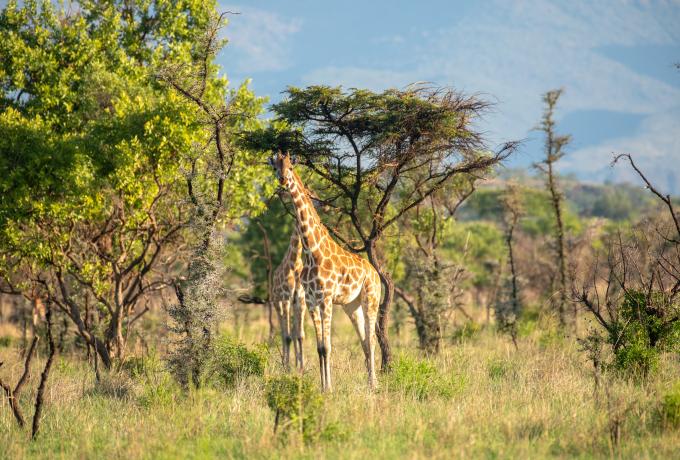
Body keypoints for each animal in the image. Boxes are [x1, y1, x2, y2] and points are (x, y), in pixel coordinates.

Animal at [270, 152, 382, 391]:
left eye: (290, 167)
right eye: (276, 167)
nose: (283, 180)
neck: (312, 251)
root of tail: (376, 273)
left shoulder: (326, 298)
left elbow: (328, 347)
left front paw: (329, 388)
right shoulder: (311, 300)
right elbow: (320, 348)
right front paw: (323, 387)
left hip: (371, 299)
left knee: (372, 340)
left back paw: (374, 384)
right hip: (351, 306)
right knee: (364, 341)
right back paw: (371, 383)